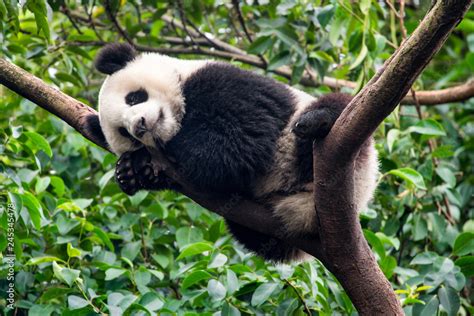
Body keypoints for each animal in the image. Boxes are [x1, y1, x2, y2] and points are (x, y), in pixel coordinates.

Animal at [88, 42, 378, 262]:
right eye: (124, 133)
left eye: (134, 97)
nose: (139, 126)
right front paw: (133, 170)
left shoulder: (226, 84)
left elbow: (237, 143)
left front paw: (157, 155)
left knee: (338, 109)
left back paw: (317, 121)